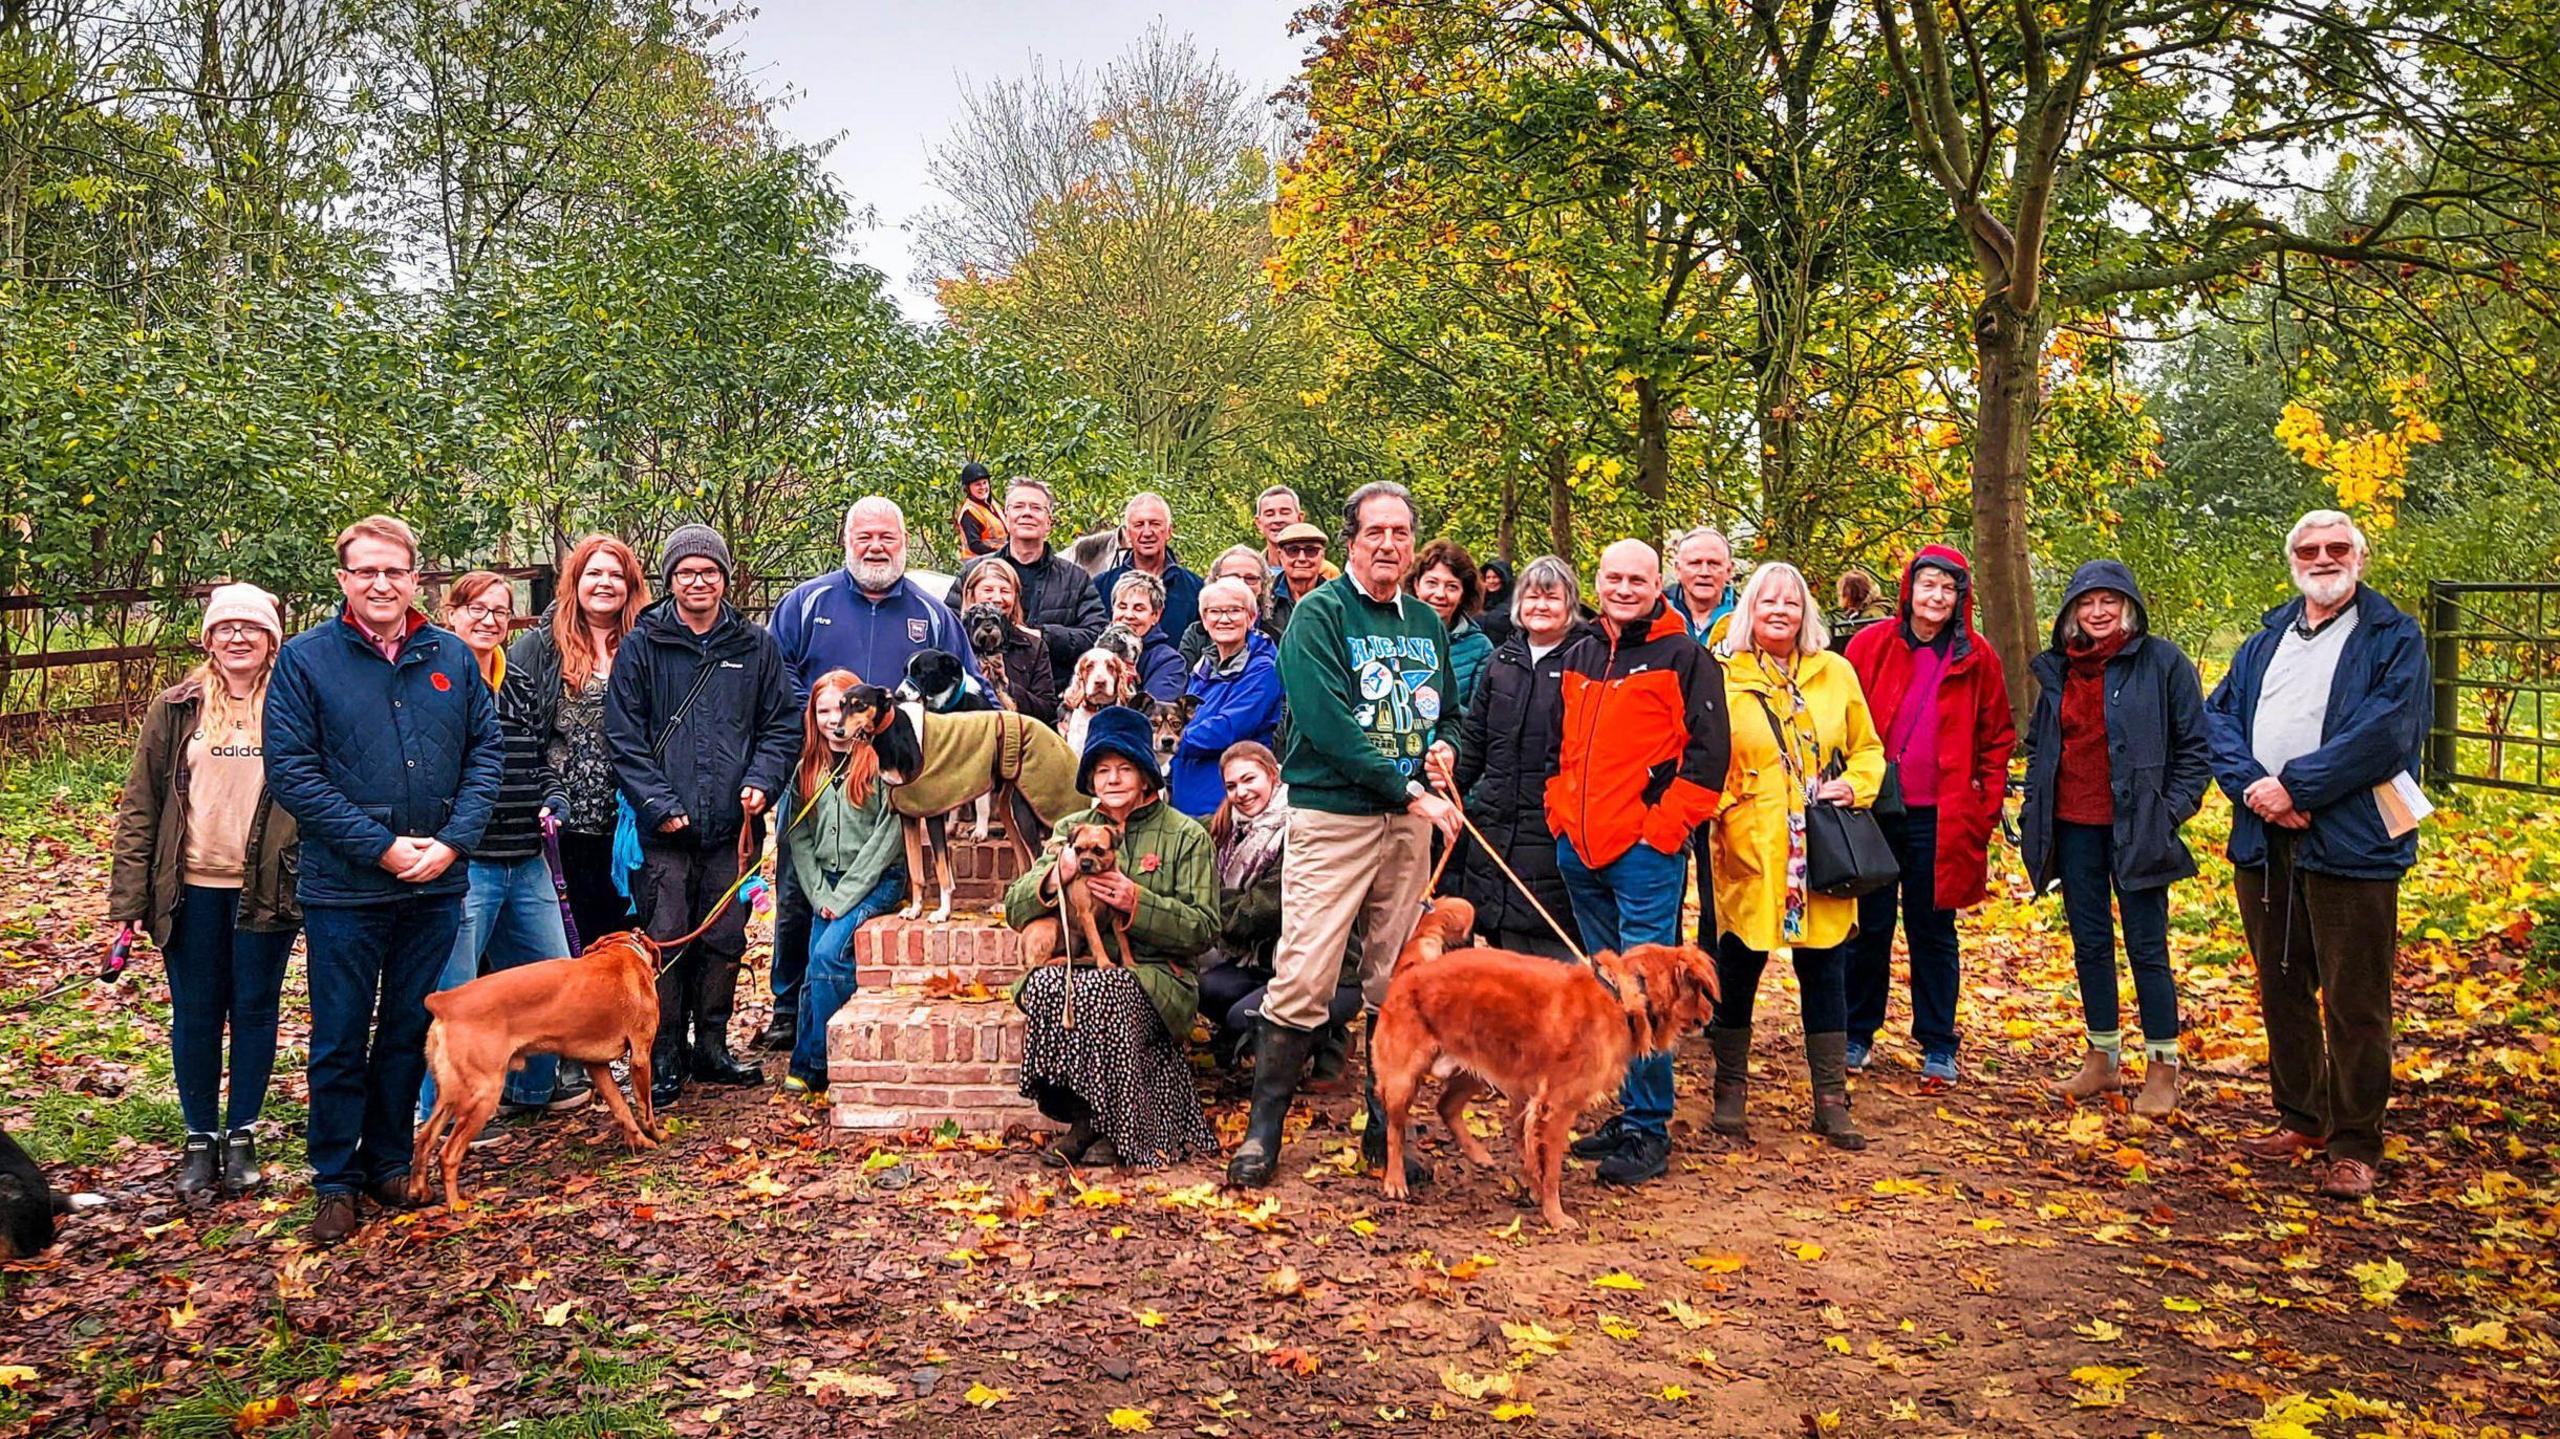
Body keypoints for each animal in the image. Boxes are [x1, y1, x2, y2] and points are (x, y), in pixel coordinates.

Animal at [404, 921, 665, 1203]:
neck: (623, 950)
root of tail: (444, 1002)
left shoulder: (597, 1067)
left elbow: (621, 1109)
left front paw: (637, 1141)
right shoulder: (640, 1058)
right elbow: (645, 1109)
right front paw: (656, 1136)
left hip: (451, 1095)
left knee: (424, 1140)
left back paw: (419, 1191)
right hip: (483, 1095)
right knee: (448, 1154)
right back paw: (457, 1205)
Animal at [1018, 819, 1131, 962]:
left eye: (1099, 850)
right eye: (1077, 849)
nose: (1085, 863)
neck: (1098, 875)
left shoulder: (1117, 918)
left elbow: (1123, 942)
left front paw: (1130, 962)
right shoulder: (1086, 914)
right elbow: (1096, 941)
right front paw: (1104, 963)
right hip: (1051, 924)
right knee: (1038, 962)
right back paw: (1061, 960)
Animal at [1382, 937, 1720, 1229]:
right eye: (1701, 991)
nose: (1711, 1015)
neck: (1621, 994)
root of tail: (1412, 970)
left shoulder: (1530, 1099)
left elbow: (1531, 1154)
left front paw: (1533, 1189)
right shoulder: (1556, 1108)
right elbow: (1552, 1168)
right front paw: (1554, 1214)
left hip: (1479, 1068)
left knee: (1446, 1106)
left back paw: (1477, 1154)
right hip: (1403, 1080)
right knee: (1395, 1130)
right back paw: (1395, 1180)